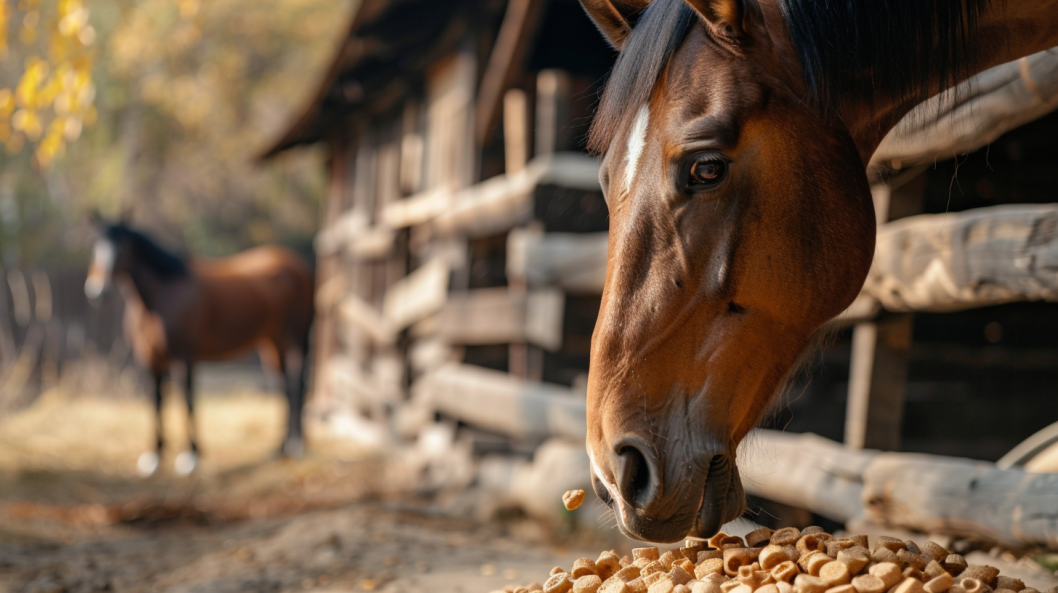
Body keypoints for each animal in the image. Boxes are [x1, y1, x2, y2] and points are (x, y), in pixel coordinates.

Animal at [83, 214, 313, 474]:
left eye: (122, 249)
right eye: (93, 246)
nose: (98, 291)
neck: (163, 296)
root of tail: (298, 266)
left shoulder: (184, 357)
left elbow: (188, 401)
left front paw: (190, 456)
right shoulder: (151, 359)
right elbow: (156, 403)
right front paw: (154, 457)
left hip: (294, 339)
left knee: (297, 384)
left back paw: (296, 447)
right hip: (273, 343)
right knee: (284, 386)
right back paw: (280, 448)